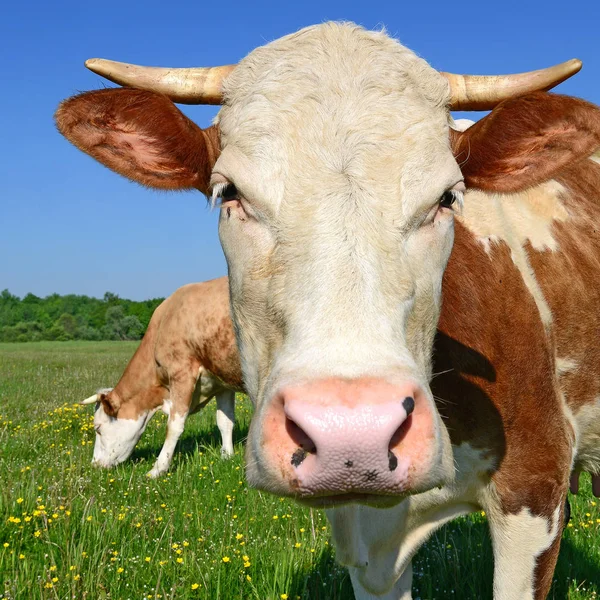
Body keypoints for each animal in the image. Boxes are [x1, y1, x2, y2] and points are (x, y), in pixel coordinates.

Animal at [80, 276, 244, 478]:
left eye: (98, 428)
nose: (94, 465)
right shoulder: (222, 381)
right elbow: (225, 421)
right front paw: (227, 456)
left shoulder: (182, 373)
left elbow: (173, 427)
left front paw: (158, 469)